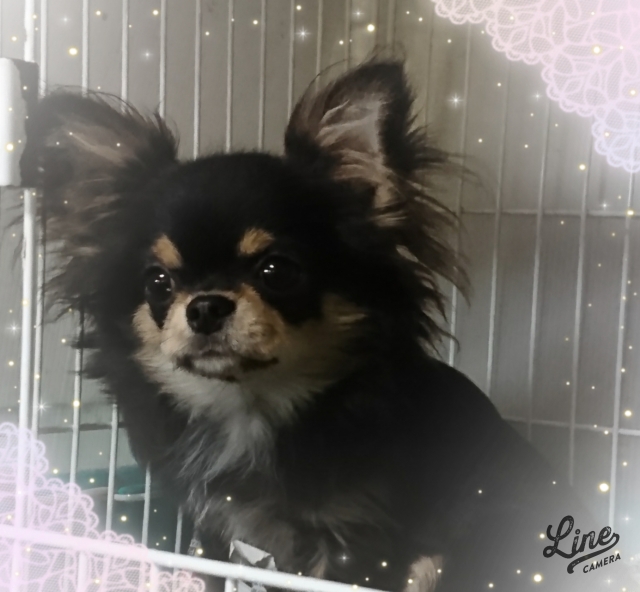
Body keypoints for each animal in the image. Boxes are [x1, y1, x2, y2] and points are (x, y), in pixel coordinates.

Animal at [22, 59, 631, 592]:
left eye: (278, 271)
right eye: (158, 283)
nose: (205, 306)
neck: (252, 410)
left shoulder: (359, 544)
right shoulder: (215, 534)